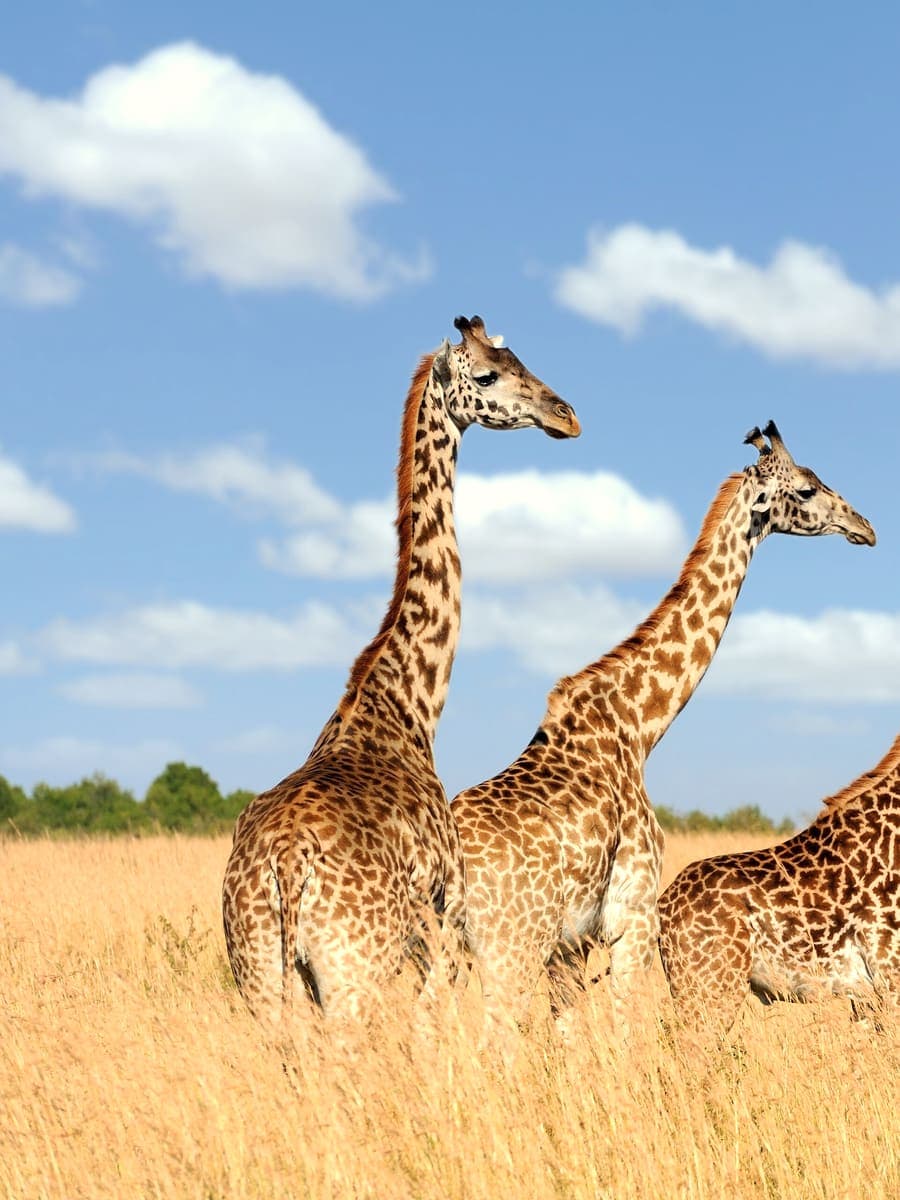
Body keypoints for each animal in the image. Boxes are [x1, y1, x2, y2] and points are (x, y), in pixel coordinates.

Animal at [222, 315, 580, 1025]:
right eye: (489, 375)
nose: (568, 416)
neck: (408, 702)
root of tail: (283, 866)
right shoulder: (446, 916)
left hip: (259, 976)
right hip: (352, 974)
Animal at [451, 421, 875, 1029]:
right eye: (808, 488)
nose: (865, 528)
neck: (638, 724)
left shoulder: (573, 945)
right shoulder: (631, 915)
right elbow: (628, 1028)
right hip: (509, 945)